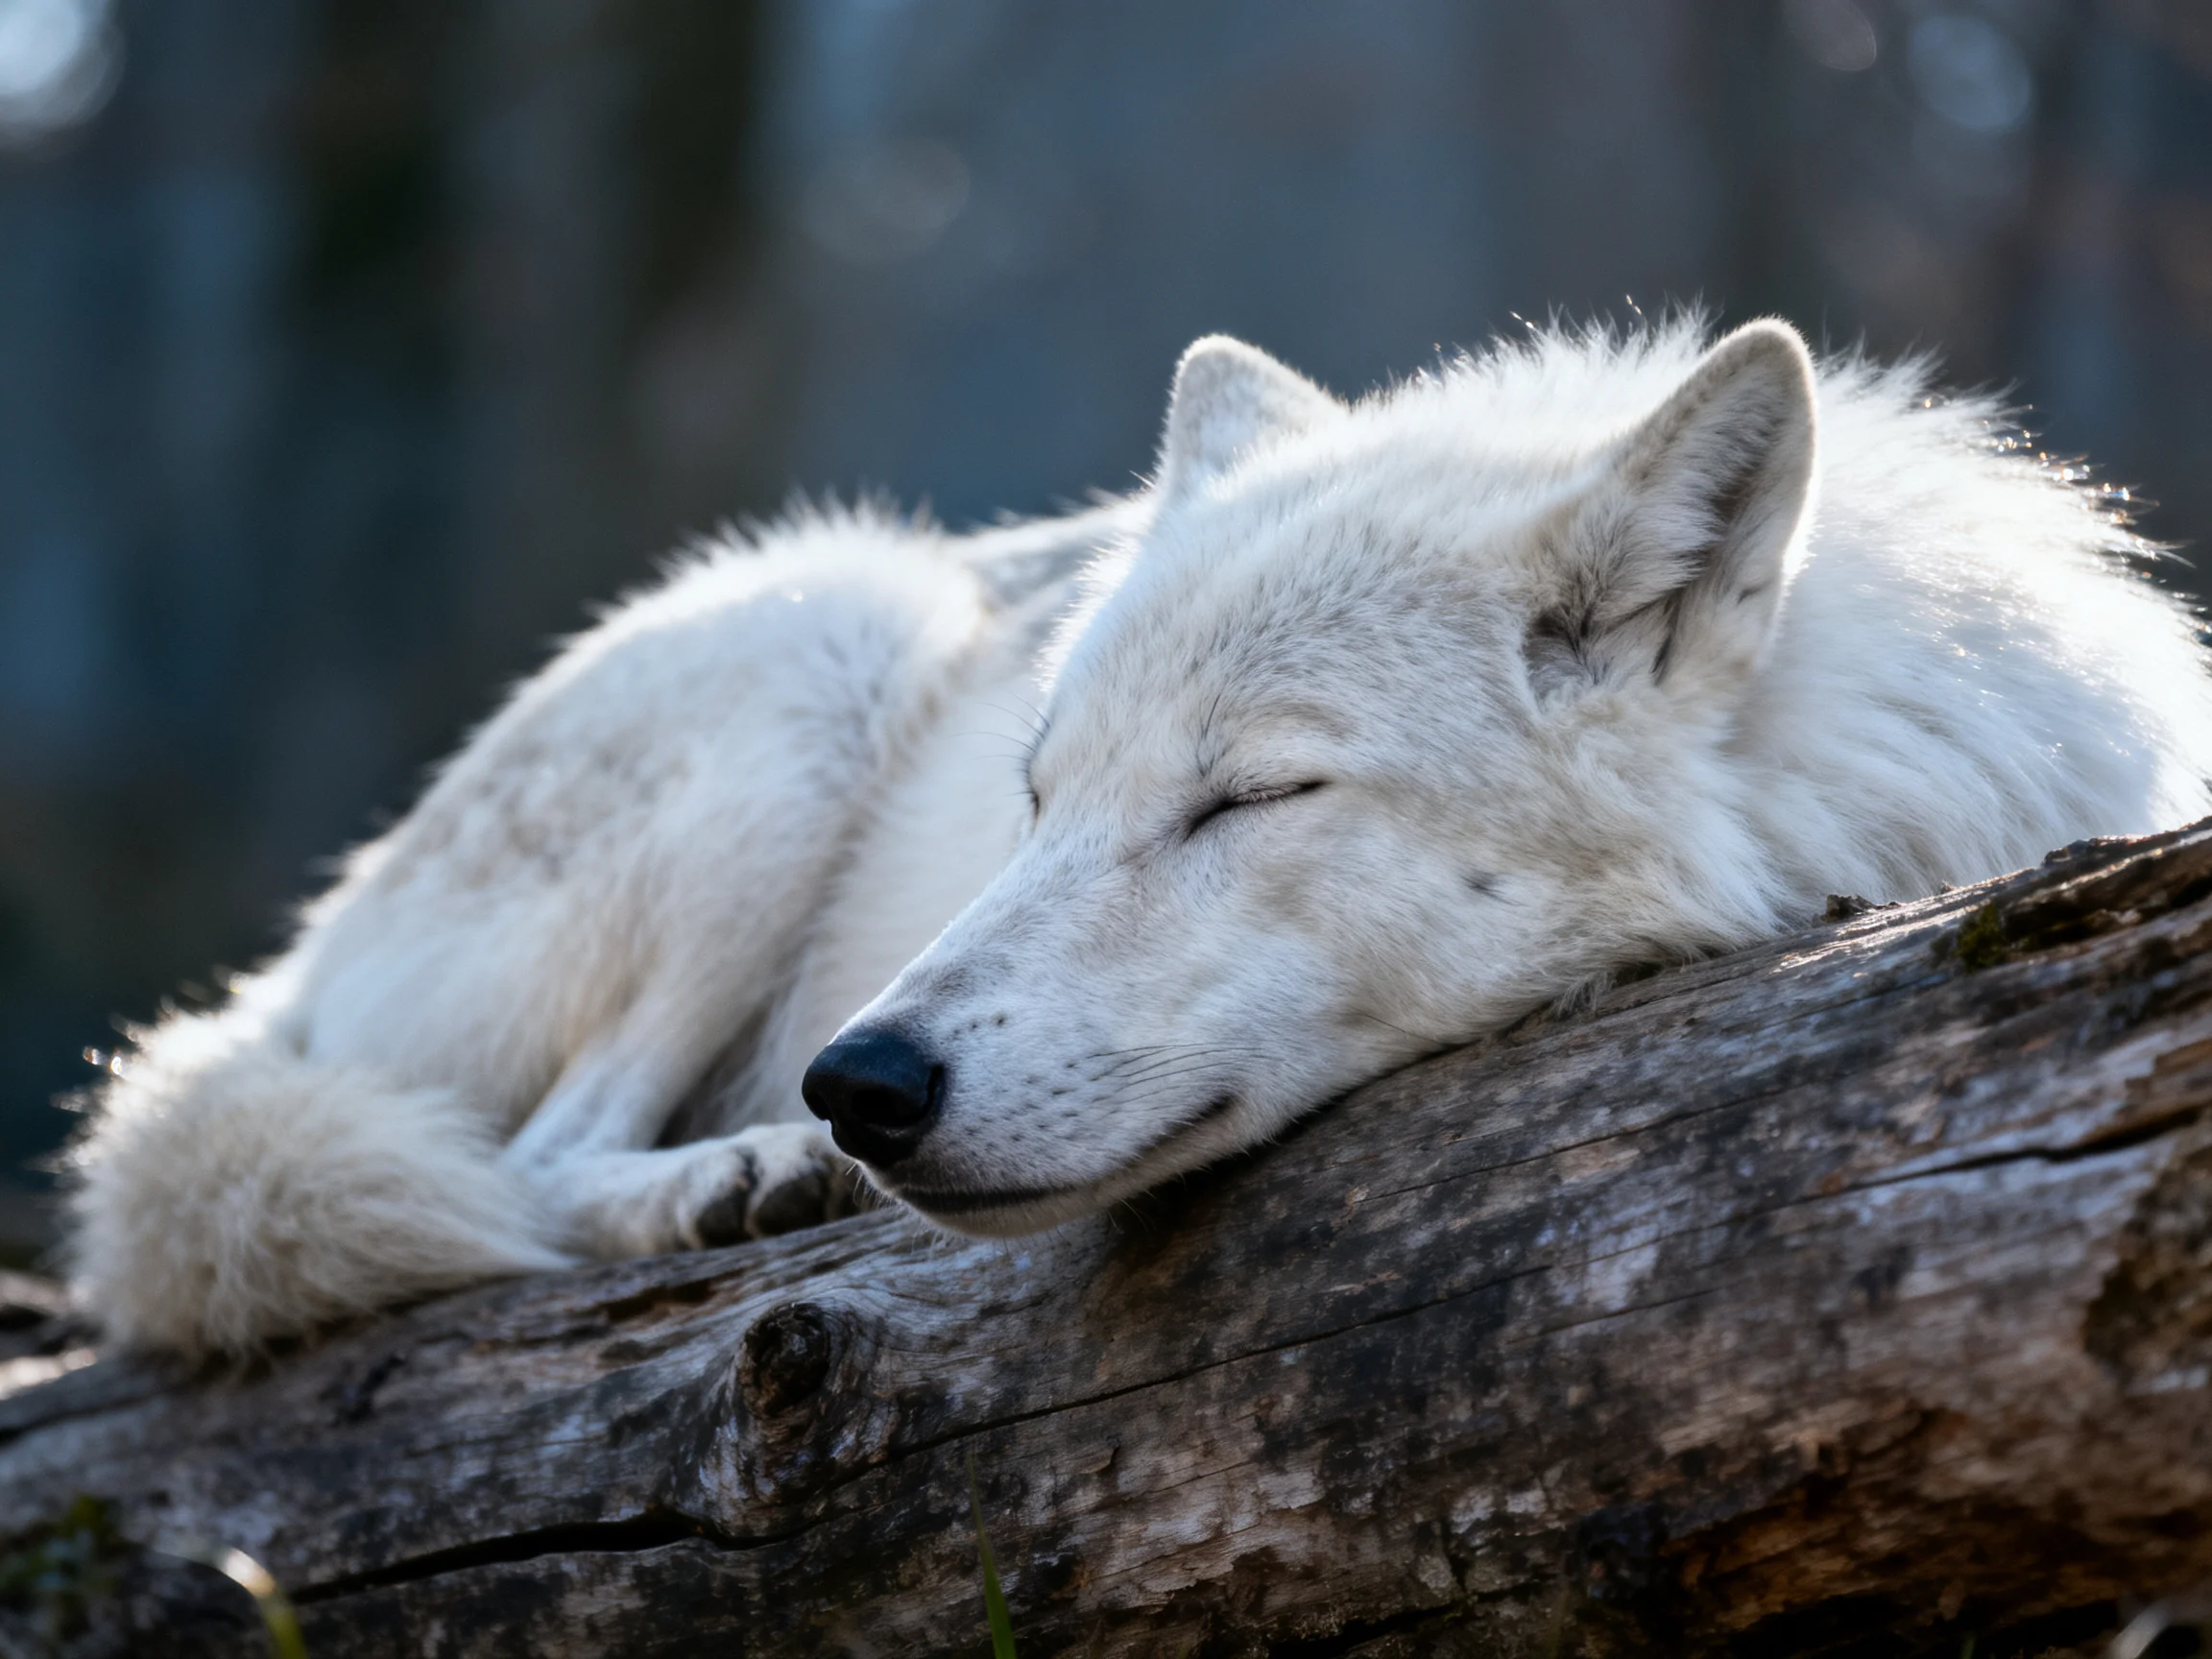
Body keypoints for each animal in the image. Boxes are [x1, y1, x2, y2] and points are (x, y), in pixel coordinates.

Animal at [65, 318, 2212, 1357]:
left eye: (1245, 796)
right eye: (1038, 798)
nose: (861, 1081)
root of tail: (289, 967)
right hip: (822, 643)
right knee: (523, 1166)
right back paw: (733, 1182)